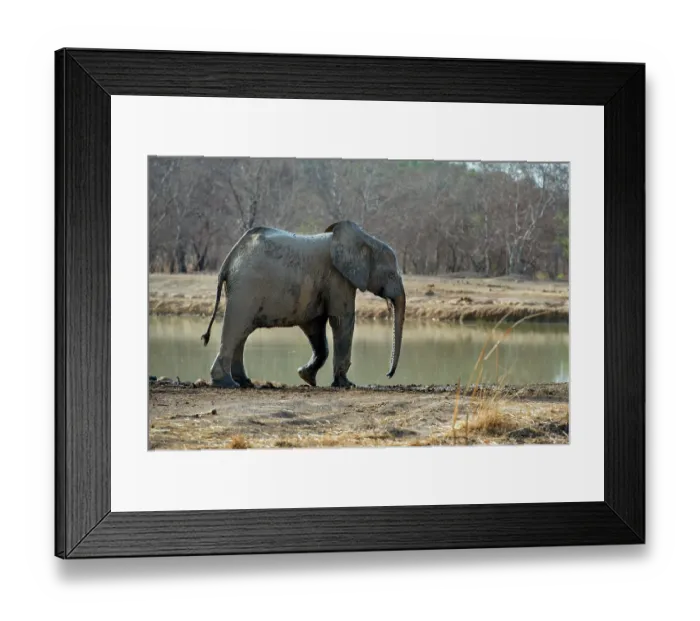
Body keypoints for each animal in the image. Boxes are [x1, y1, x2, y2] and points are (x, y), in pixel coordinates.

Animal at [200, 220, 406, 388]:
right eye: (391, 275)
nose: (388, 374)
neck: (365, 239)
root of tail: (229, 259)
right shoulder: (338, 278)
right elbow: (341, 320)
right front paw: (345, 384)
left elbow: (315, 326)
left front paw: (306, 377)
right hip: (246, 288)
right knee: (236, 329)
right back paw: (226, 383)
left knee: (241, 333)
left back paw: (244, 382)